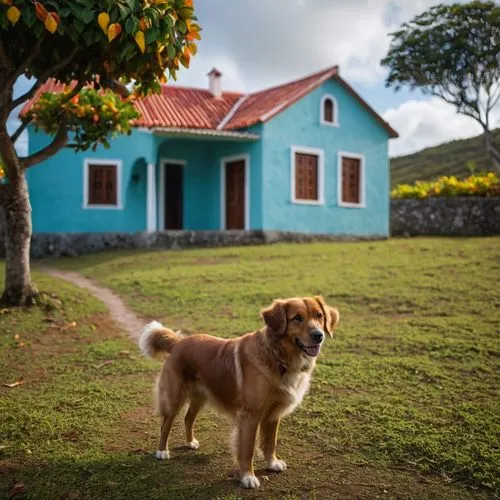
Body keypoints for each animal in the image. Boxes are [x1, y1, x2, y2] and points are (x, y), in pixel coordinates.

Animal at [138, 296, 340, 488]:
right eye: (297, 318)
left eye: (319, 316)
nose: (319, 335)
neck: (276, 356)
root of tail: (178, 342)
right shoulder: (249, 416)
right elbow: (248, 449)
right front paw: (248, 477)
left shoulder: (273, 414)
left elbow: (270, 442)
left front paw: (272, 463)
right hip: (174, 397)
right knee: (165, 424)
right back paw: (162, 451)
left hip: (200, 396)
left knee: (188, 418)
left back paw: (190, 442)